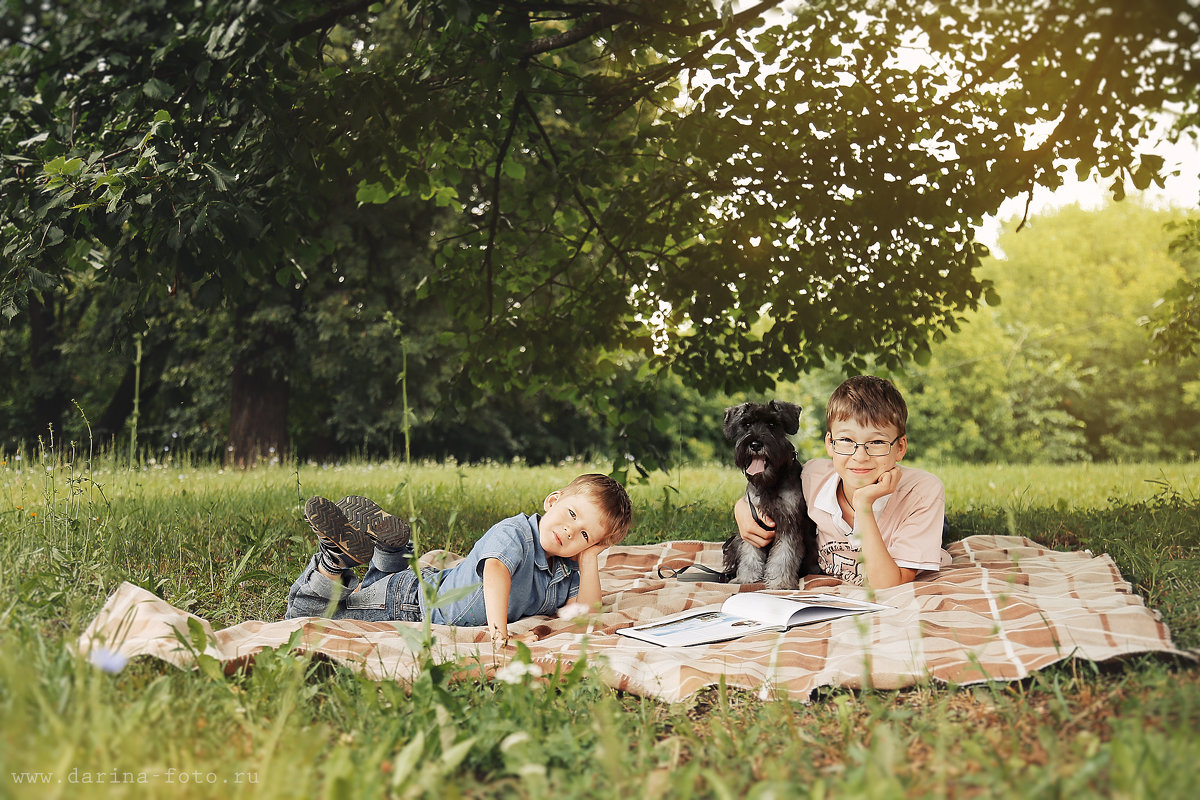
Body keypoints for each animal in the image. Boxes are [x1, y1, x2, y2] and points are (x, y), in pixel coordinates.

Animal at [715, 398, 820, 587]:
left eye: (772, 424)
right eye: (746, 424)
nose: (755, 444)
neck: (770, 482)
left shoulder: (788, 524)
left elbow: (783, 555)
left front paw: (780, 582)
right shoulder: (752, 523)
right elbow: (750, 553)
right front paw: (746, 578)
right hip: (736, 539)